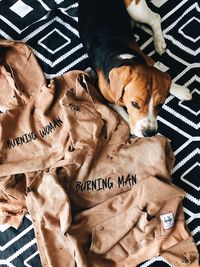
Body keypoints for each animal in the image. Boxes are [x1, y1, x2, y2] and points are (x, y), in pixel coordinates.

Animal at [78, 0, 192, 138]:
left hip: (135, 9)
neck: (123, 58)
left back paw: (159, 42)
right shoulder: (109, 100)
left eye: (160, 105)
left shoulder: (147, 60)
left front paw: (180, 91)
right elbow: (123, 114)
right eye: (134, 104)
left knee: (155, 18)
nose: (149, 133)